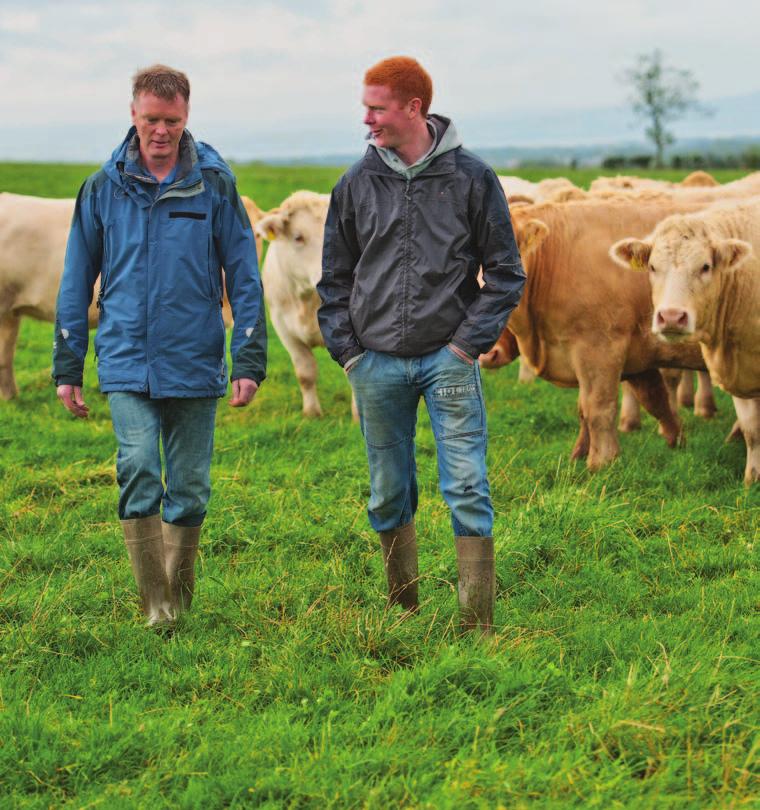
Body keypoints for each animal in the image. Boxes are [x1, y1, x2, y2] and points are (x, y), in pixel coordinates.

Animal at [612, 196, 760, 482]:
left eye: (705, 266)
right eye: (652, 267)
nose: (671, 317)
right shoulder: (738, 373)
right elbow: (752, 430)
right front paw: (752, 479)